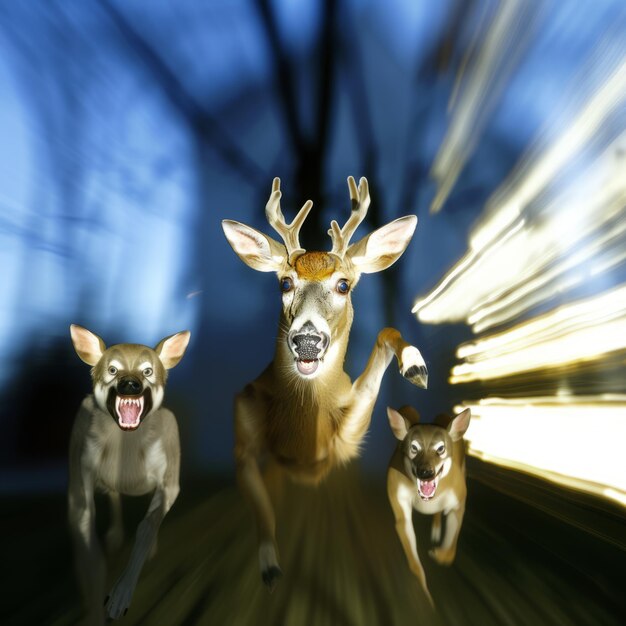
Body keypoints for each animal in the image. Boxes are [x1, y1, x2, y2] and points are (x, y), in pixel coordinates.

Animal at [219, 177, 424, 588]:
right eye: (285, 282)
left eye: (343, 285)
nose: (308, 341)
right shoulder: (245, 443)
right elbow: (263, 509)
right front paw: (270, 566)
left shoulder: (345, 439)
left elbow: (385, 337)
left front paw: (415, 366)